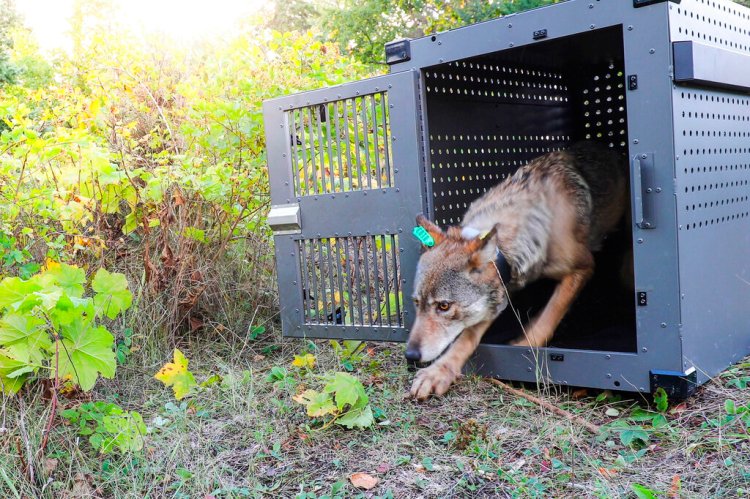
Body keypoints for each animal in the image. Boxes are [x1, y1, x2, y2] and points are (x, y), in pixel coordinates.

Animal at [406, 142, 628, 400]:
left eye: (443, 306)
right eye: (416, 303)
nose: (410, 355)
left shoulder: (583, 266)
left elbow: (549, 315)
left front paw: (524, 346)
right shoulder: (500, 292)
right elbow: (466, 337)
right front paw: (438, 372)